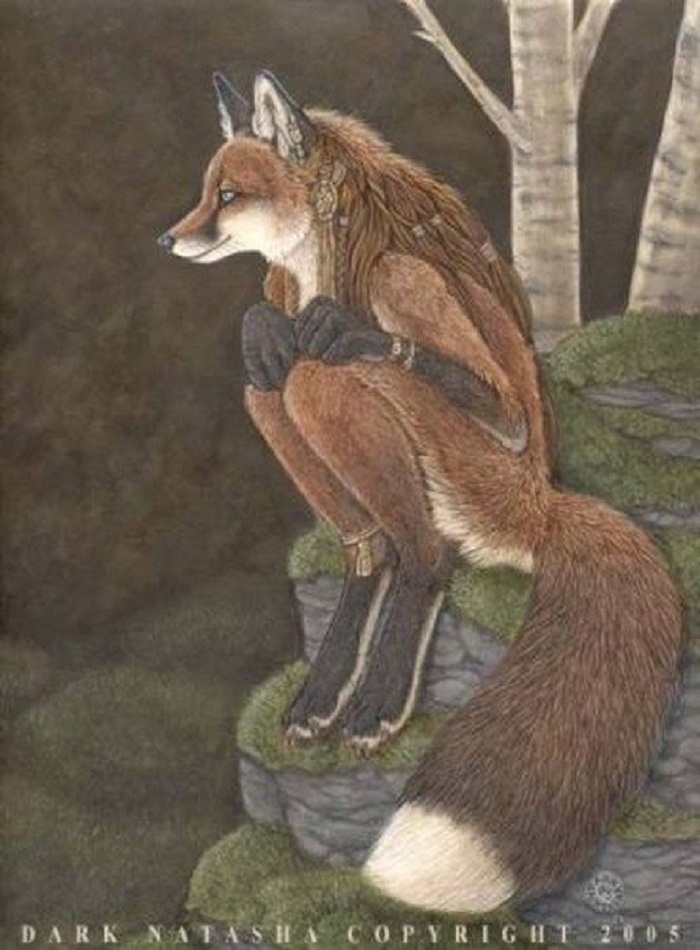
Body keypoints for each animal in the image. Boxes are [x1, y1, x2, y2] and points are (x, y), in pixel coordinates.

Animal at [158, 70, 682, 914]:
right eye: (207, 192)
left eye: (229, 195)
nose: (167, 241)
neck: (325, 270)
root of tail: (546, 506)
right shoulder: (280, 296)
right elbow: (260, 325)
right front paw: (263, 324)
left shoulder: (402, 288)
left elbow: (445, 378)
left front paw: (350, 331)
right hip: (316, 431)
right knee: (296, 419)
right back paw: (326, 695)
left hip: (461, 462)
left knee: (412, 523)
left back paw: (378, 702)